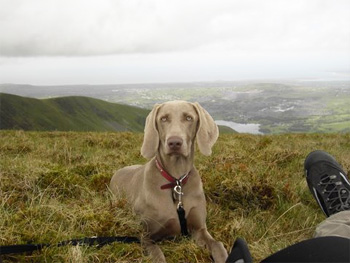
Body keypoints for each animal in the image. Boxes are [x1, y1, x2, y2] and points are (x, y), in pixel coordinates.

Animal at [110, 101, 228, 263]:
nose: (174, 142)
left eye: (189, 118)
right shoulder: (145, 236)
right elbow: (158, 254)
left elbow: (218, 245)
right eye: (163, 119)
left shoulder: (199, 229)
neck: (176, 180)